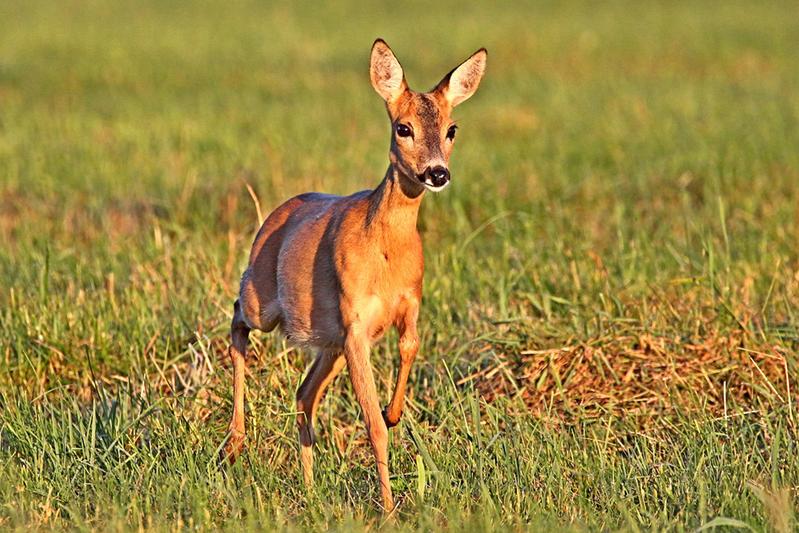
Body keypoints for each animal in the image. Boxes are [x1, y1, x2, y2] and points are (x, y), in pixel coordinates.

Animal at [222, 38, 490, 512]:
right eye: (403, 128)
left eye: (452, 128)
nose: (437, 172)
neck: (385, 253)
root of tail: (276, 213)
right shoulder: (356, 324)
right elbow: (373, 427)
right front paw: (387, 508)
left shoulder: (405, 307)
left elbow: (409, 349)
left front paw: (394, 411)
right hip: (263, 299)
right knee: (237, 316)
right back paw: (235, 443)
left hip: (327, 341)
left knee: (303, 394)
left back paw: (309, 490)